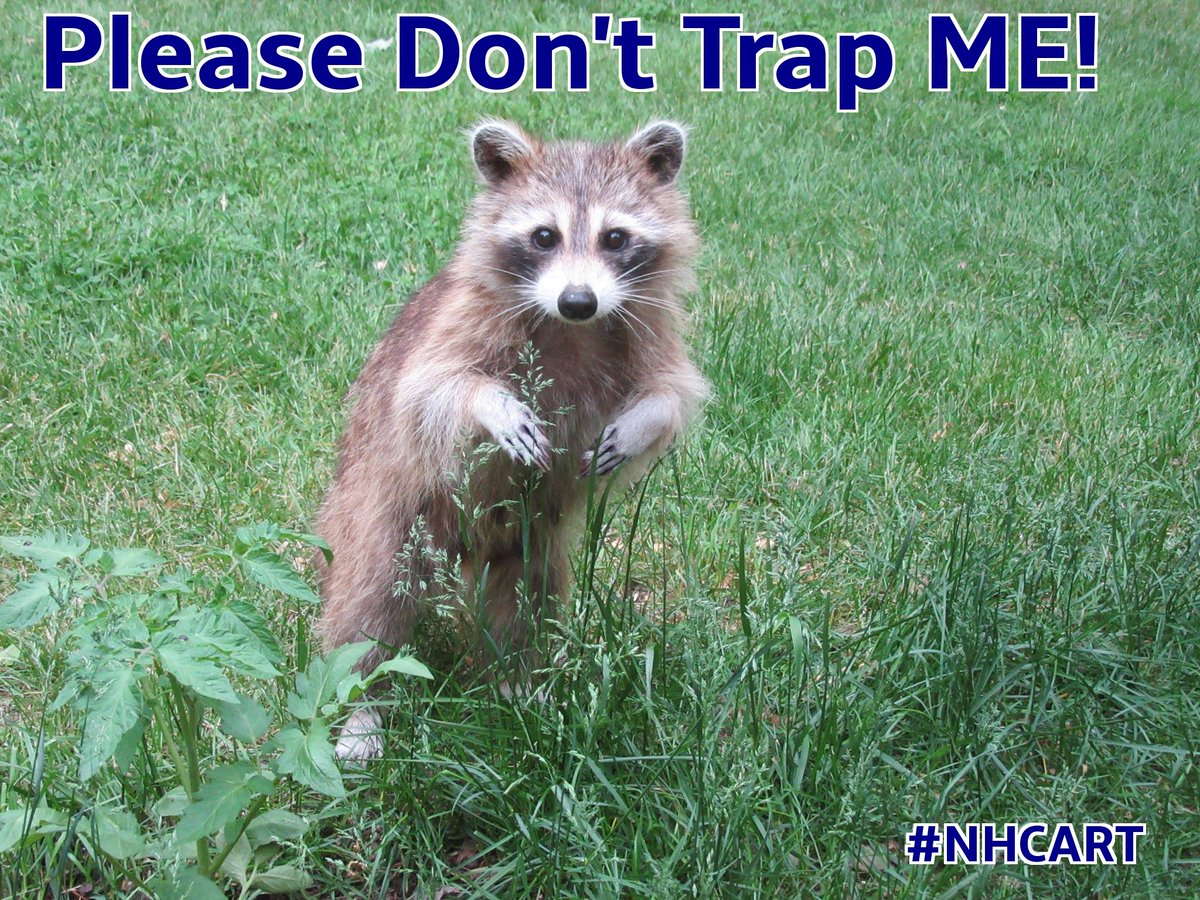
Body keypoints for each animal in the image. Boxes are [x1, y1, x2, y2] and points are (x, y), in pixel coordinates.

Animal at [315, 120, 709, 758]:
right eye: (545, 235)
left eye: (615, 237)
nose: (579, 300)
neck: (571, 329)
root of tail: (462, 551)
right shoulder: (454, 325)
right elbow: (430, 391)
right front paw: (491, 406)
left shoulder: (647, 329)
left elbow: (671, 393)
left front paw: (640, 423)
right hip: (382, 515)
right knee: (369, 604)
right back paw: (363, 706)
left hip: (528, 542)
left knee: (525, 605)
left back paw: (517, 685)